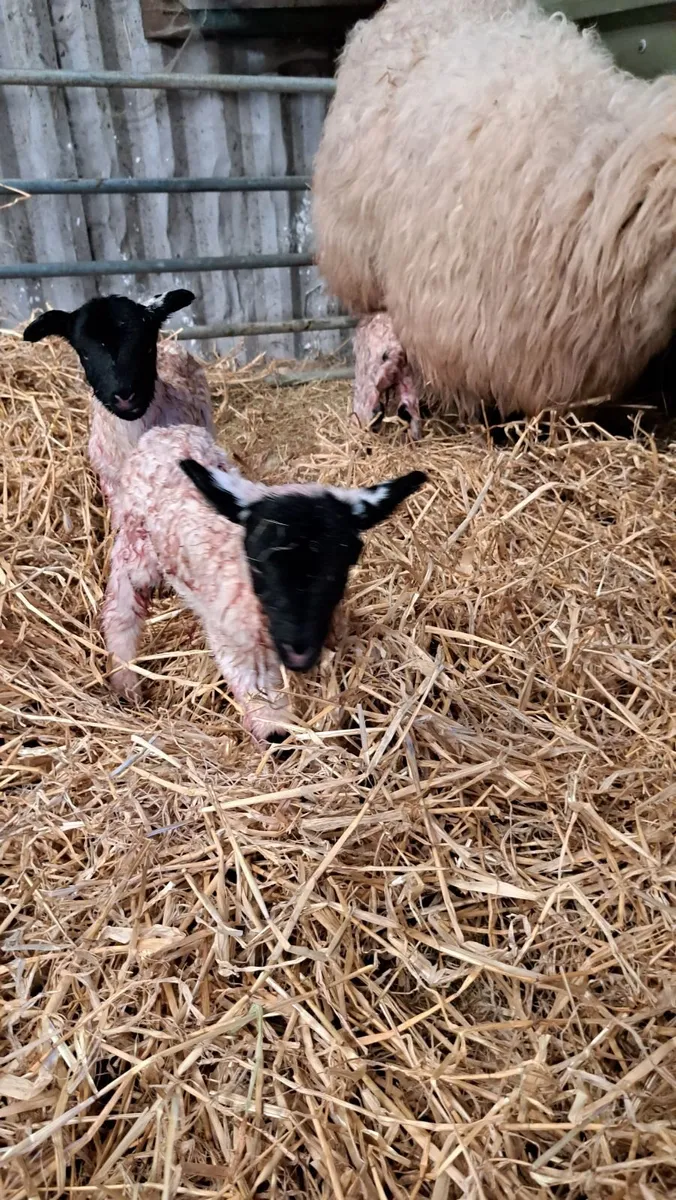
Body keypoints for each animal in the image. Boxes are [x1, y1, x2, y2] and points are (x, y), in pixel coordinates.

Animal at [103, 423, 427, 743]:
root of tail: (163, 431)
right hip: (135, 546)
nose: (298, 653)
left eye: (344, 561)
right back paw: (125, 681)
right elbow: (267, 715)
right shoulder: (235, 642)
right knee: (120, 608)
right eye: (257, 561)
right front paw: (276, 738)